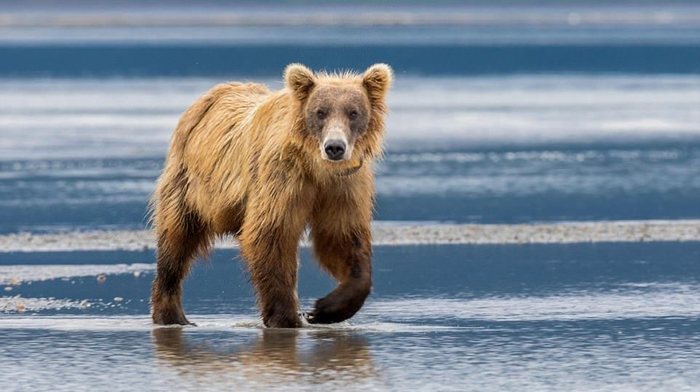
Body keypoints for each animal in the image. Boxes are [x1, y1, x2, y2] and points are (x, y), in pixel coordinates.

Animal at [150, 64, 394, 328]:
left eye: (353, 112)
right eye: (320, 112)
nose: (335, 147)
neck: (317, 168)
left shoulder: (343, 187)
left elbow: (342, 239)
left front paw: (324, 309)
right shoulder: (282, 178)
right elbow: (271, 234)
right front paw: (287, 317)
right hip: (189, 185)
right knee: (176, 242)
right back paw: (172, 314)